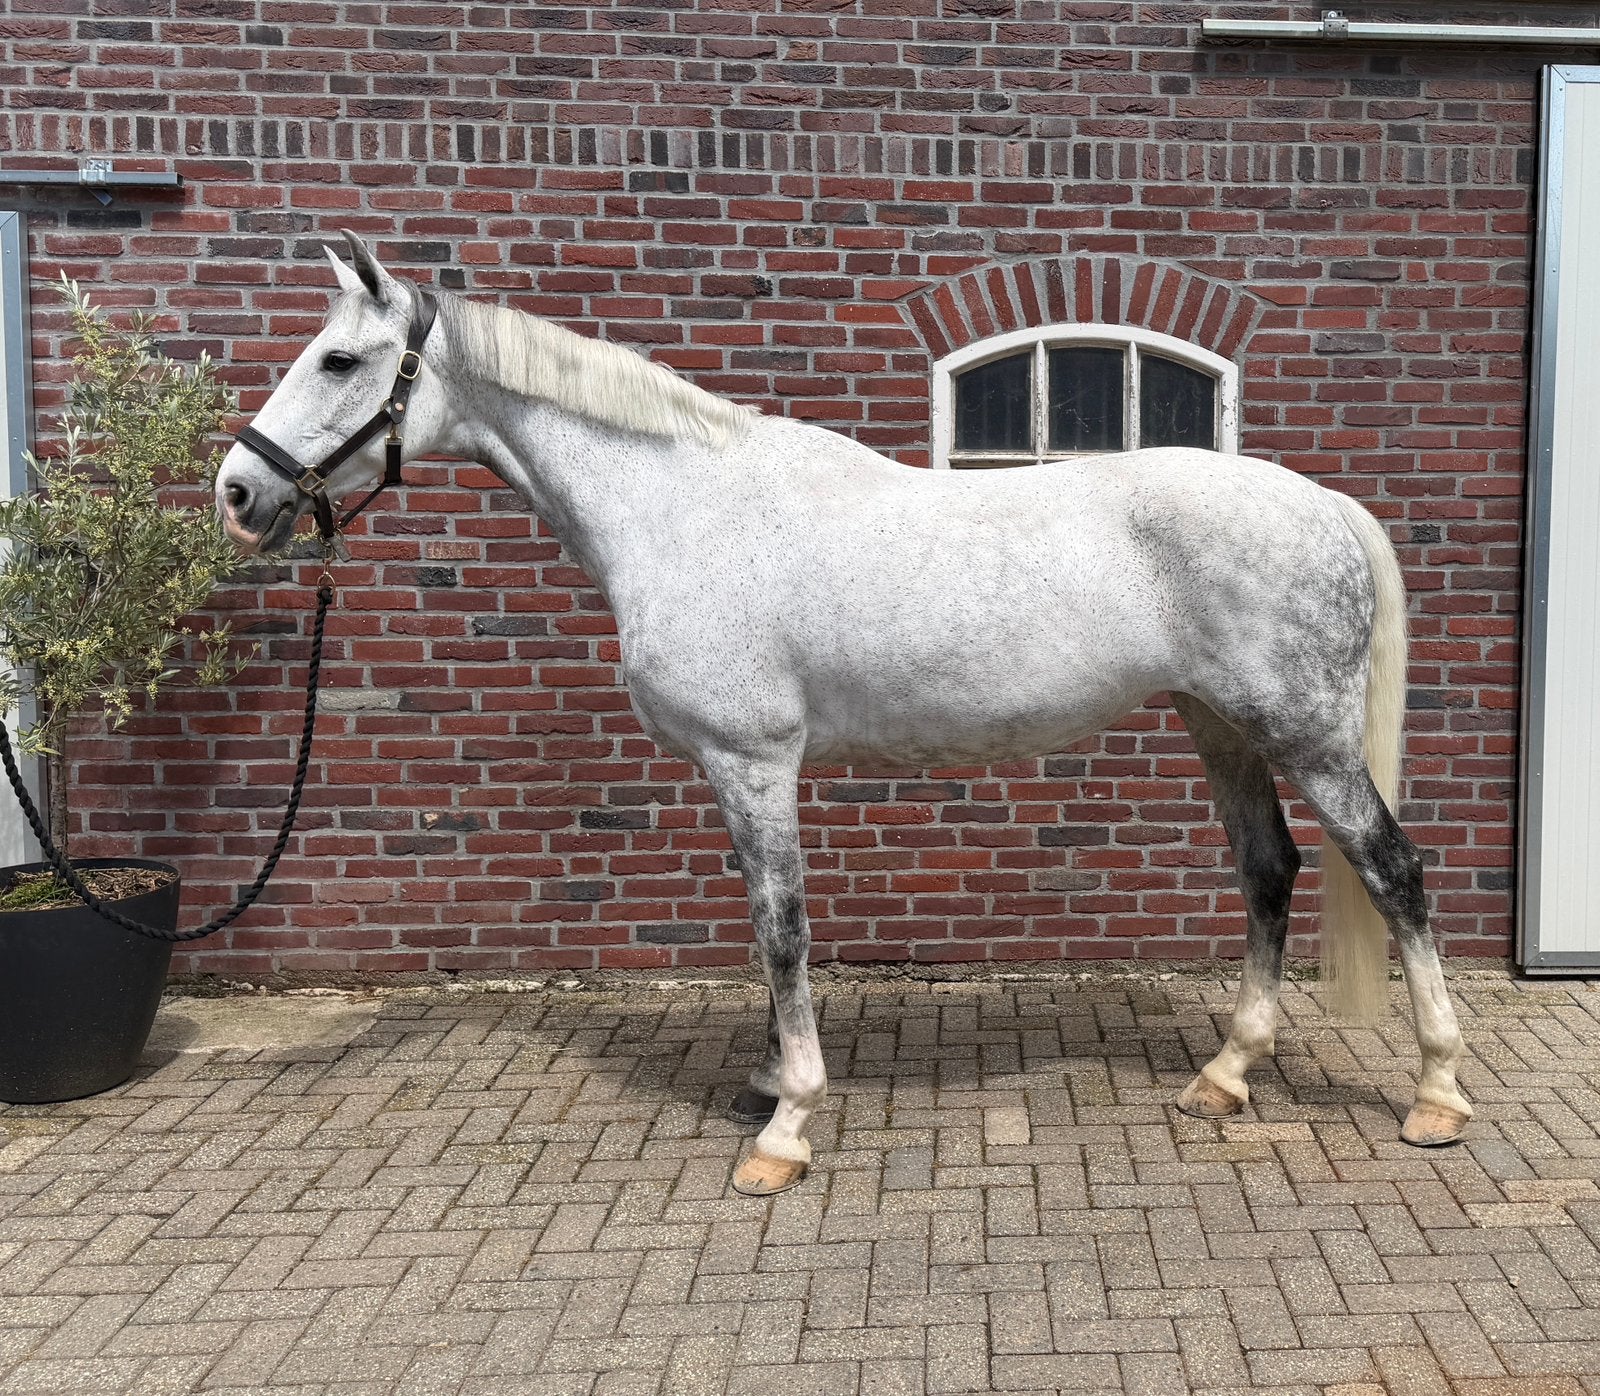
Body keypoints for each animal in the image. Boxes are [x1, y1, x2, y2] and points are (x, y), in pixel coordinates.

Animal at [215, 233, 1472, 1195]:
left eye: (339, 358)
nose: (238, 489)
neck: (682, 504)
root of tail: (1320, 503)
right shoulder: (739, 772)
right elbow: (761, 922)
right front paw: (774, 1080)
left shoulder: (753, 760)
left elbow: (782, 927)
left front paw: (786, 1127)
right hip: (1220, 726)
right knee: (1268, 871)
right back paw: (1223, 1077)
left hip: (1307, 735)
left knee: (1394, 872)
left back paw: (1437, 1092)